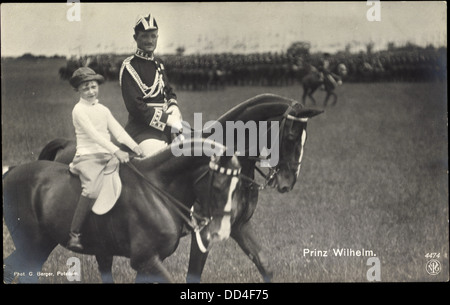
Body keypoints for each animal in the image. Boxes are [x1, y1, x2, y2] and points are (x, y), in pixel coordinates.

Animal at [2, 138, 243, 282]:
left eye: (238, 187)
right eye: (219, 186)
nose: (222, 233)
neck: (158, 190)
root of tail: (11, 171)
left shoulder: (149, 262)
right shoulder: (145, 259)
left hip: (42, 242)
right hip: (32, 243)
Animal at [36, 93, 324, 282]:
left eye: (305, 138)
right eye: (290, 136)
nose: (287, 182)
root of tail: (67, 145)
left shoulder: (240, 226)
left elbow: (265, 265)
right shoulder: (203, 234)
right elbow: (193, 275)